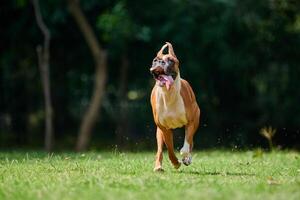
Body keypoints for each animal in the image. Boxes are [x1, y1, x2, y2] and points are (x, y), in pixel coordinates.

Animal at [149, 42, 200, 172]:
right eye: (155, 60)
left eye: (171, 60)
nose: (160, 62)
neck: (169, 94)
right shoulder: (164, 128)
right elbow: (170, 149)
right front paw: (175, 162)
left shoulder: (192, 120)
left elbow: (187, 143)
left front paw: (185, 157)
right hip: (159, 132)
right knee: (160, 150)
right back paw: (158, 166)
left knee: (190, 141)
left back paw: (187, 158)